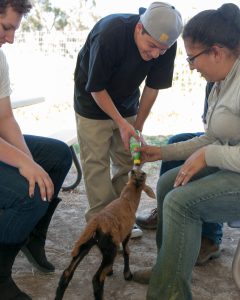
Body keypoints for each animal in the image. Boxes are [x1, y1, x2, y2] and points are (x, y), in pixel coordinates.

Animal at [54, 169, 156, 300]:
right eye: (143, 175)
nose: (135, 170)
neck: (127, 199)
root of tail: (96, 223)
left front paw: (111, 271)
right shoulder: (126, 234)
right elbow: (127, 251)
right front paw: (127, 274)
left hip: (85, 244)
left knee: (67, 273)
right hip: (109, 250)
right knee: (97, 280)